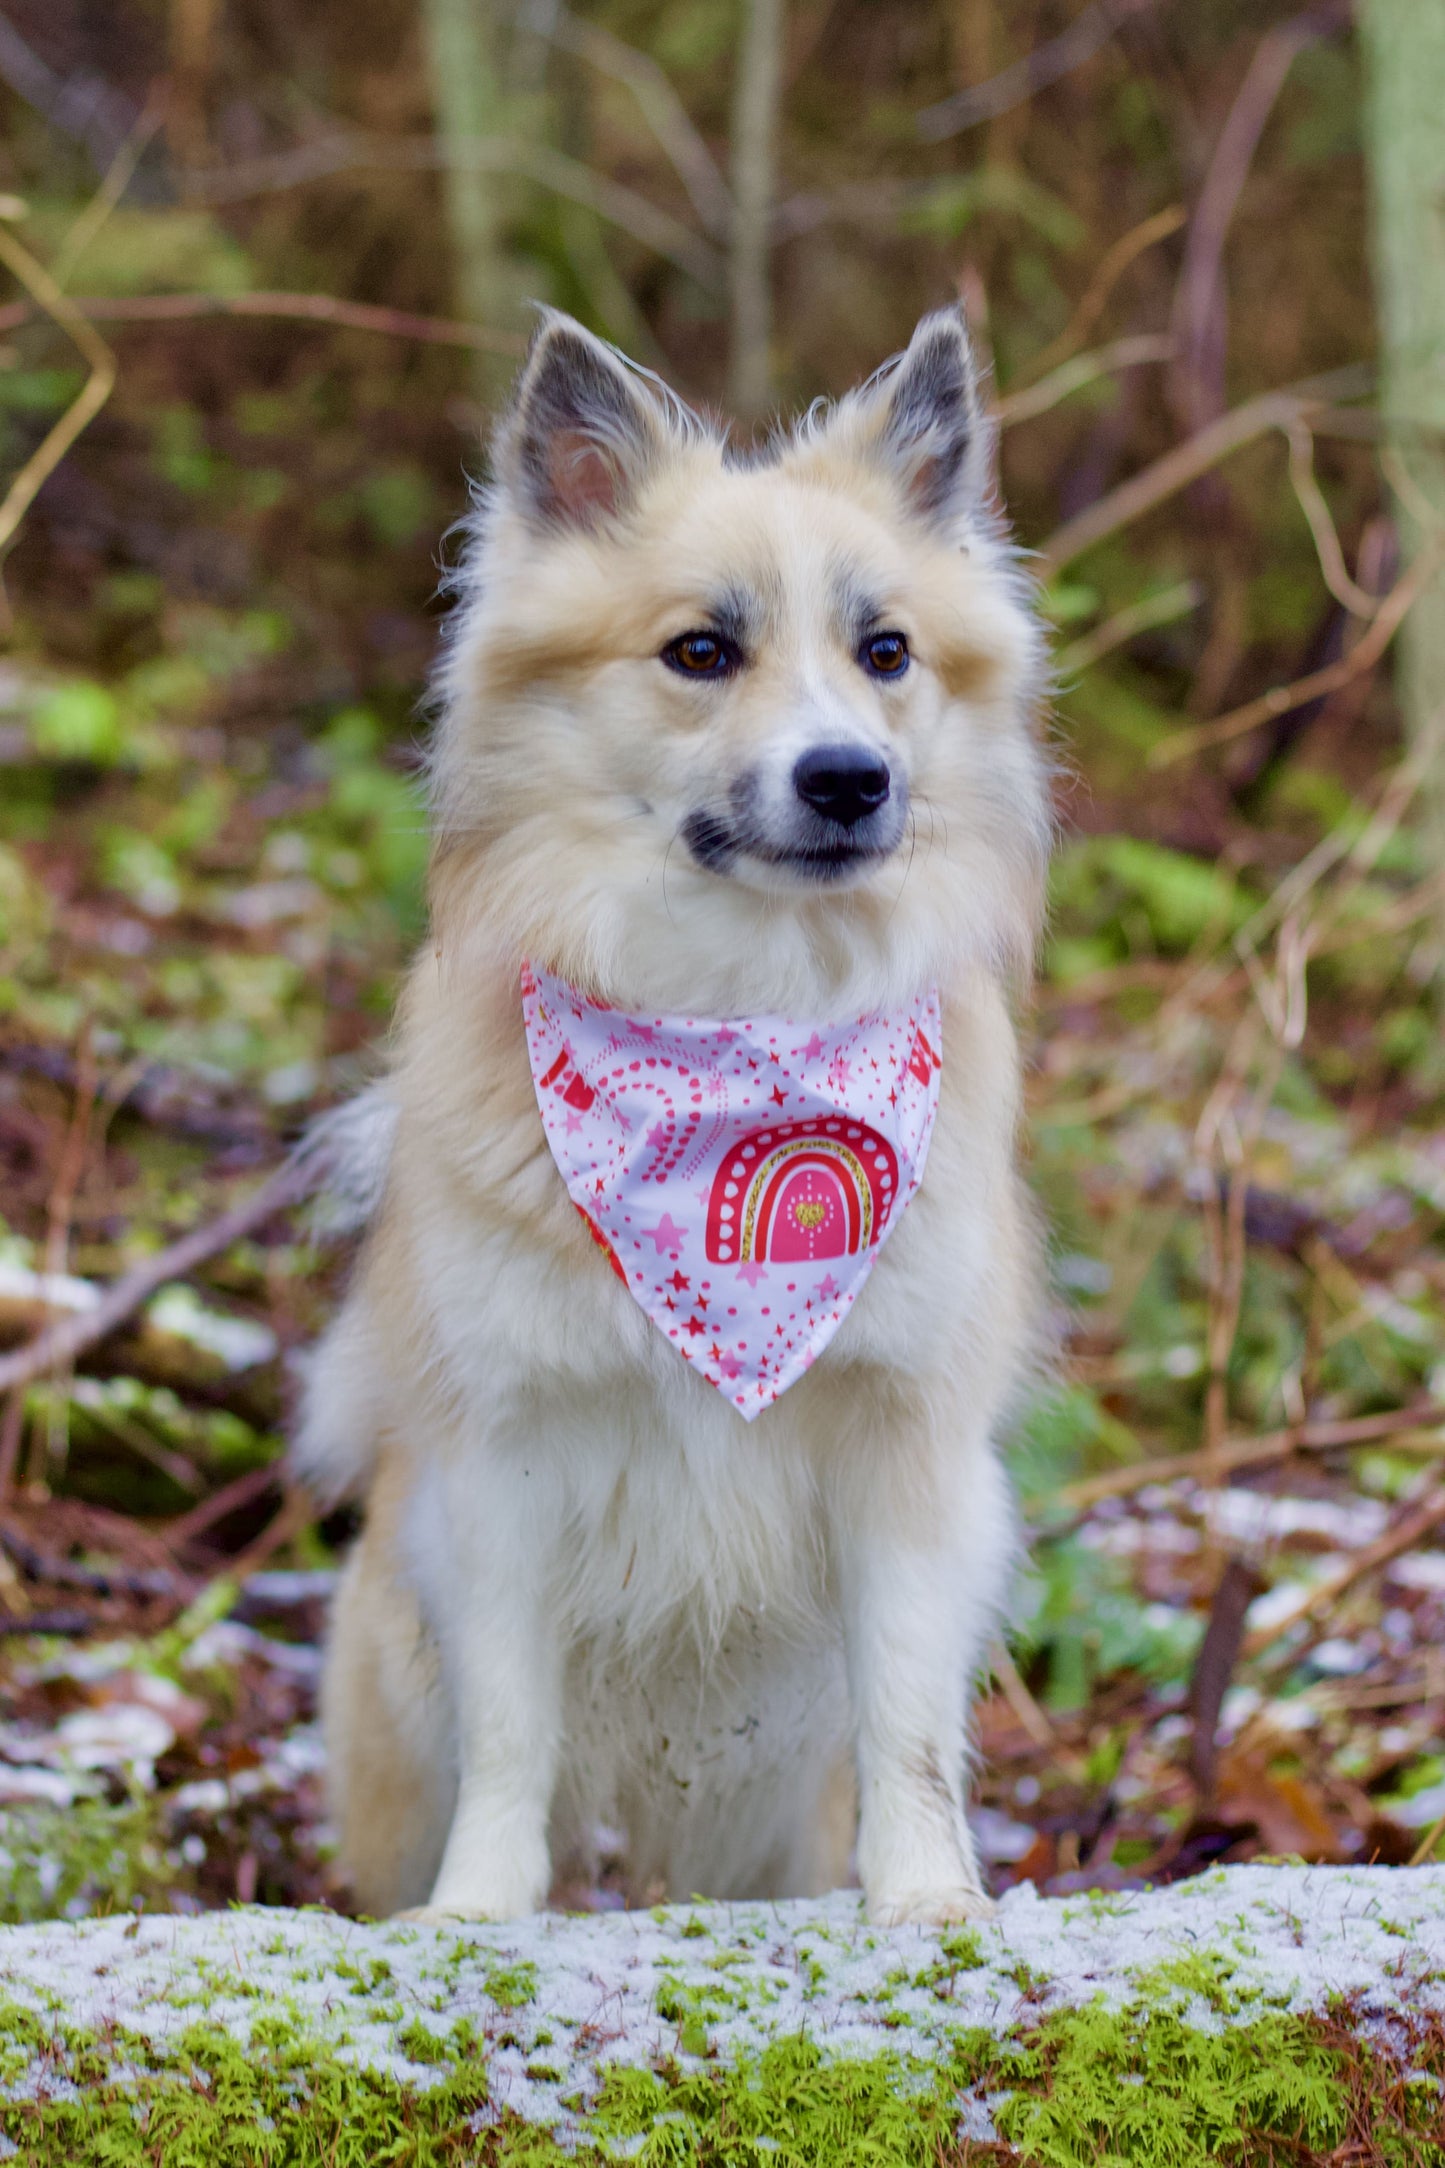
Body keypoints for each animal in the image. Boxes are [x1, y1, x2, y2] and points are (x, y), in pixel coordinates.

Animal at [298, 297, 1052, 1925]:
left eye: (885, 652)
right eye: (700, 652)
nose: (849, 779)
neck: (731, 1024)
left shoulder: (906, 1452)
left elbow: (909, 1719)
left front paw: (926, 1902)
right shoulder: (503, 1467)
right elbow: (512, 1731)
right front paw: (480, 1914)